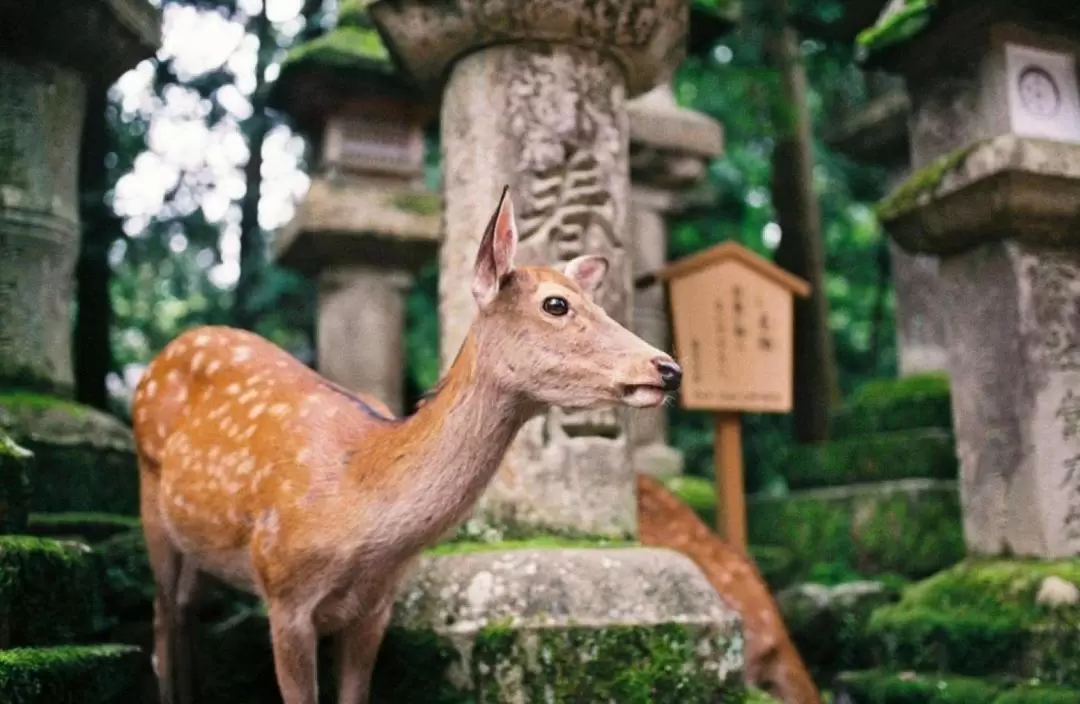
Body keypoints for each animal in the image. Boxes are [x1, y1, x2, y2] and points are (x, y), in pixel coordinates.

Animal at [128, 185, 682, 704]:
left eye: (596, 302)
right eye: (555, 304)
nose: (668, 367)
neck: (357, 510)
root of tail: (159, 358)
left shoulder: (376, 607)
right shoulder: (284, 591)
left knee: (184, 610)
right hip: (151, 501)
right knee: (160, 619)